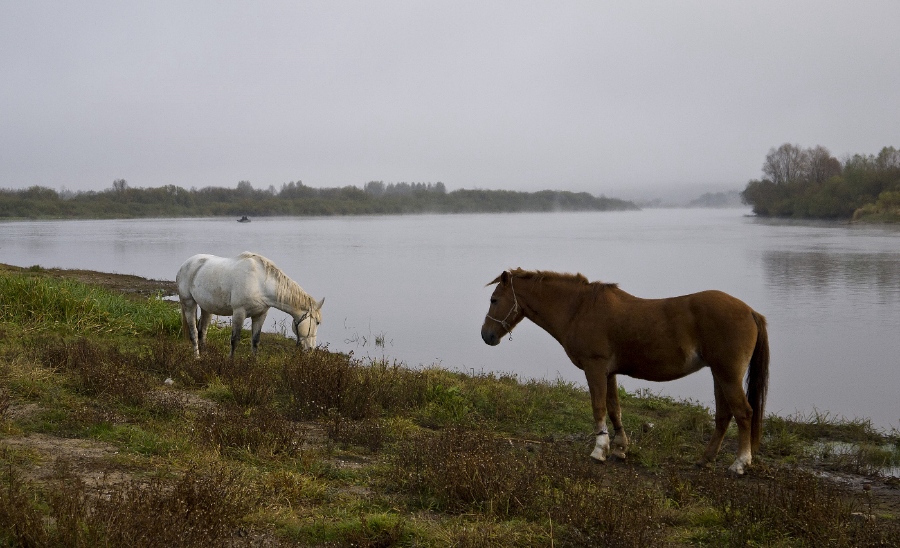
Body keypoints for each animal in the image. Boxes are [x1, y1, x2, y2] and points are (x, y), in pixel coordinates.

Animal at [176, 252, 324, 358]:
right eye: (317, 322)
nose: (311, 348)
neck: (259, 282)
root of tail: (184, 265)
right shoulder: (239, 313)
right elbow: (234, 340)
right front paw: (231, 363)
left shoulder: (260, 315)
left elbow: (255, 341)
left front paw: (253, 364)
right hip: (189, 304)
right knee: (194, 332)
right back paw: (197, 358)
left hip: (207, 308)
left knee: (202, 332)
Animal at [481, 268, 769, 475]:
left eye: (494, 299)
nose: (486, 335)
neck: (579, 308)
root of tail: (750, 312)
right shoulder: (609, 372)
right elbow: (614, 408)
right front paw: (619, 448)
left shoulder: (595, 367)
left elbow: (598, 407)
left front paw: (599, 450)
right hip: (719, 374)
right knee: (724, 415)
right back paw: (705, 459)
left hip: (727, 374)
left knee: (744, 413)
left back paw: (740, 464)